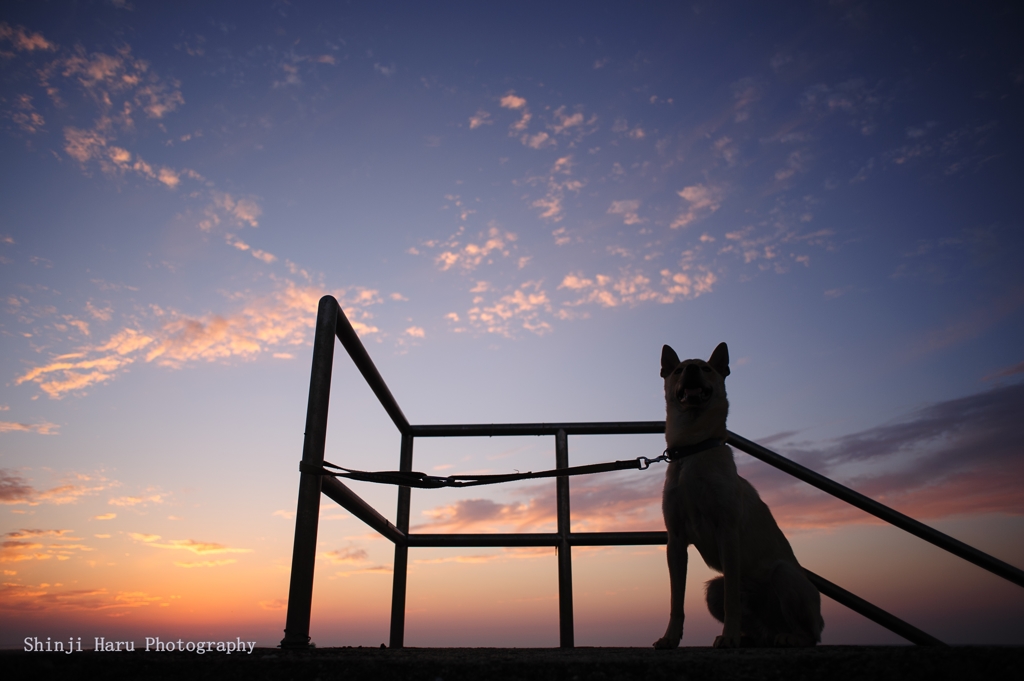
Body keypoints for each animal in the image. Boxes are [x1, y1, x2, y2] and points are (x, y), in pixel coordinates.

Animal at [655, 342, 823, 647]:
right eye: (678, 370)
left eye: (706, 368)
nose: (692, 368)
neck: (693, 448)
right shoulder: (675, 540)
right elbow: (676, 600)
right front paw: (671, 638)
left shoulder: (728, 532)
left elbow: (732, 598)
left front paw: (729, 636)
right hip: (713, 590)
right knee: (760, 627)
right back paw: (754, 637)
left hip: (785, 576)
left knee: (809, 634)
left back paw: (787, 637)